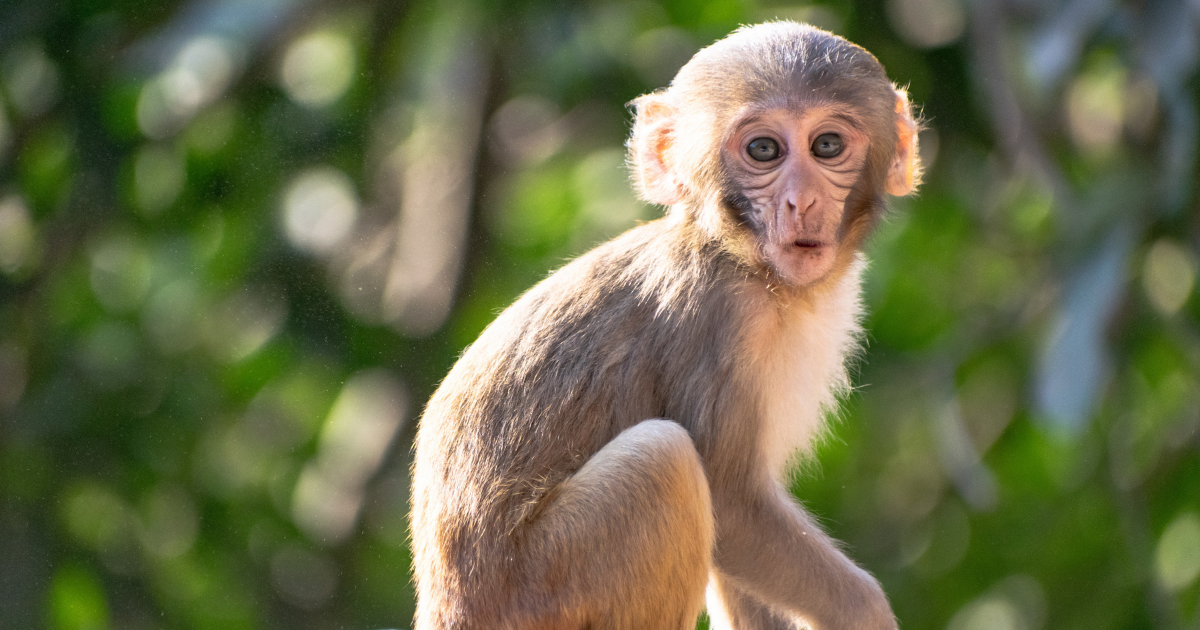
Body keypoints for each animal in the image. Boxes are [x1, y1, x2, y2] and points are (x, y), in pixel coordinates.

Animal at [410, 21, 920, 630]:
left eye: (827, 146)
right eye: (764, 150)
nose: (802, 201)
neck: (744, 261)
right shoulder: (718, 318)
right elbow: (732, 501)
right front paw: (864, 610)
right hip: (539, 584)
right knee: (665, 459)